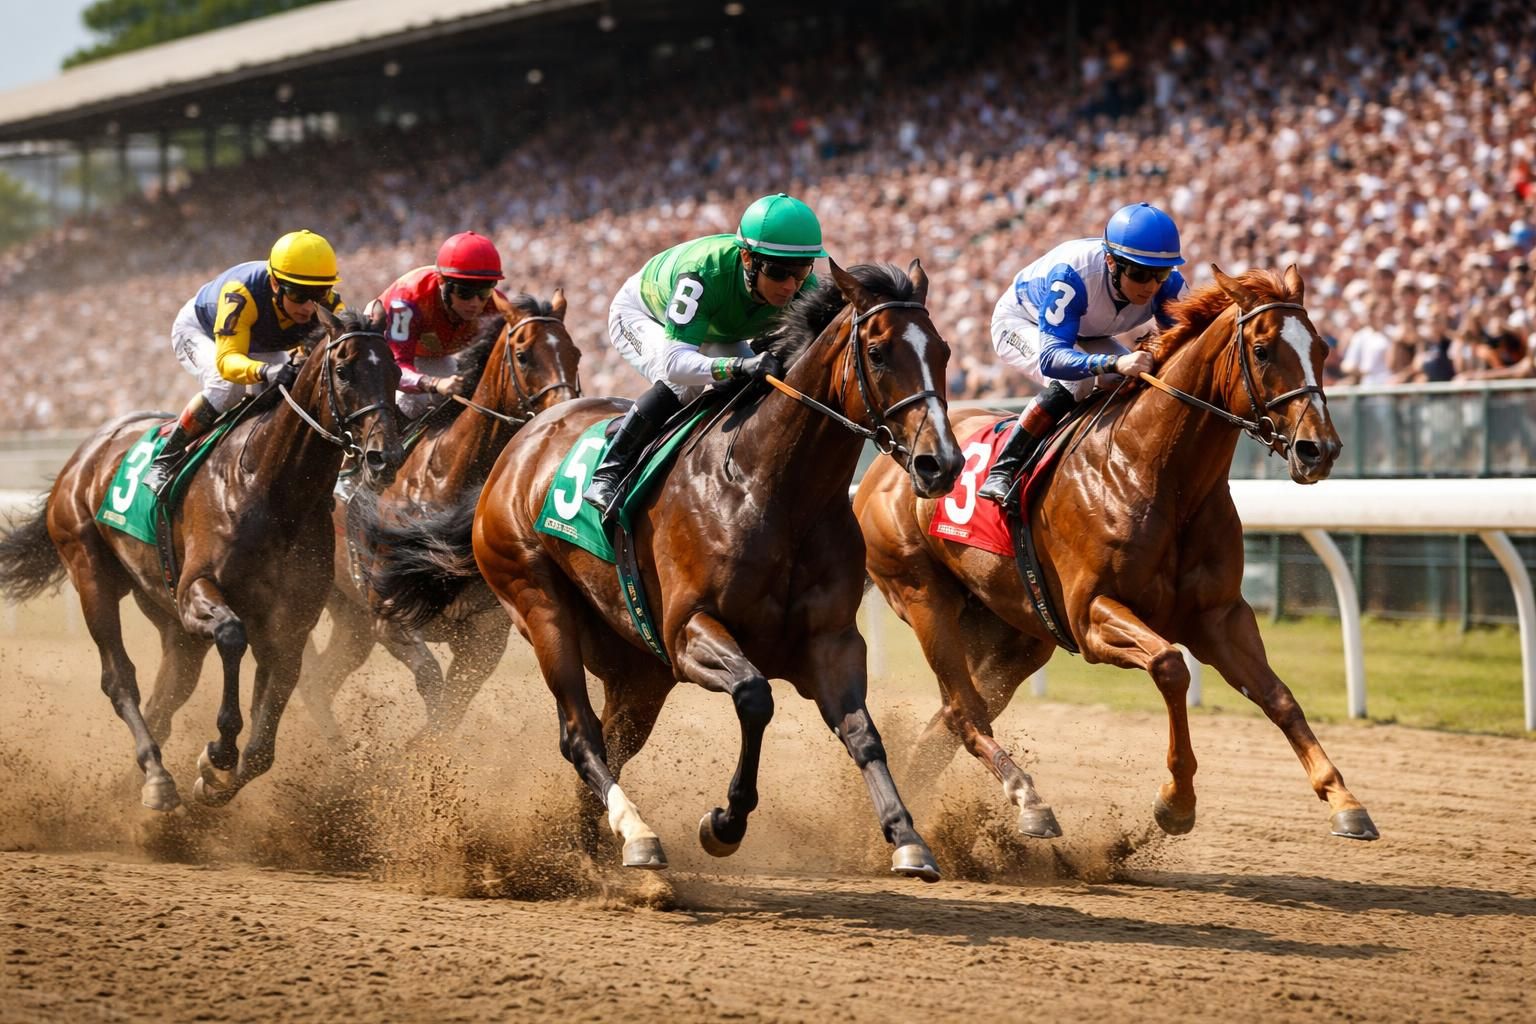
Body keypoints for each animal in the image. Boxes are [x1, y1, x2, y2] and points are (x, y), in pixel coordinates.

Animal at [0, 308, 403, 812]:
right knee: (120, 679)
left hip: (166, 611)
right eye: (345, 370)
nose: (385, 456)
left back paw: (132, 790)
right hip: (90, 570)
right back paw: (156, 778)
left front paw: (215, 780)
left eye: (396, 372)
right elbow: (231, 637)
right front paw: (220, 751)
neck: (272, 489)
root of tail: (84, 453)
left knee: (168, 694)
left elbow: (264, 742)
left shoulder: (290, 624)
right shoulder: (198, 589)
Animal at [299, 290, 582, 745]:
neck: (445, 480)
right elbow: (433, 685)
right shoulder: (390, 618)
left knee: (326, 675)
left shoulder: (484, 635)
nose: (567, 414)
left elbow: (452, 706)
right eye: (523, 356)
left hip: (350, 620)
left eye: (575, 352)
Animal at [370, 261, 966, 878]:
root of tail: (514, 451)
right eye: (877, 352)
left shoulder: (831, 642)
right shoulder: (687, 632)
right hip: (538, 603)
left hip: (638, 667)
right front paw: (724, 823)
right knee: (581, 735)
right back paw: (636, 833)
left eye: (943, 351)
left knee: (614, 742)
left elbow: (863, 733)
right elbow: (755, 695)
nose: (941, 464)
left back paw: (589, 849)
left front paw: (906, 836)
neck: (773, 489)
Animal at [854, 266, 1380, 844]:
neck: (1157, 474)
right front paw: (1176, 800)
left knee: (952, 718)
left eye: (1323, 348)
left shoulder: (1218, 615)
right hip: (925, 599)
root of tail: (885, 464)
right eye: (1262, 350)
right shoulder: (1091, 616)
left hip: (1015, 633)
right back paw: (1025, 802)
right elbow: (1171, 667)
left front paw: (1344, 799)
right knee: (959, 709)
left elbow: (1278, 696)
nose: (1319, 450)